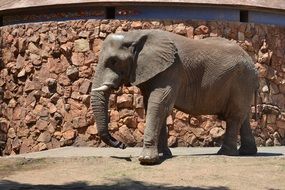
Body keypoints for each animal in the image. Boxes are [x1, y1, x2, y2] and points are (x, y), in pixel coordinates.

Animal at [90, 29, 258, 164]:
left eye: (113, 61)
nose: (122, 145)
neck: (135, 35)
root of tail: (254, 66)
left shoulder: (172, 69)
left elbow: (159, 104)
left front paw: (147, 160)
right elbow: (153, 106)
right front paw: (164, 154)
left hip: (241, 80)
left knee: (234, 116)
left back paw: (226, 153)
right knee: (243, 117)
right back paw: (247, 152)